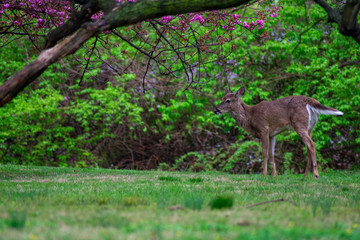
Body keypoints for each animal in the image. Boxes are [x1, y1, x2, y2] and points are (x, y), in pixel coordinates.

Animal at [214, 86, 344, 178]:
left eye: (228, 101)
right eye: (222, 99)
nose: (216, 110)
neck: (250, 117)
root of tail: (309, 101)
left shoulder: (263, 128)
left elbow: (264, 153)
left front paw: (264, 174)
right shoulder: (273, 133)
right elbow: (272, 154)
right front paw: (274, 175)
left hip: (299, 123)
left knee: (311, 144)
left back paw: (316, 175)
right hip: (310, 126)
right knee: (309, 146)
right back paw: (306, 175)